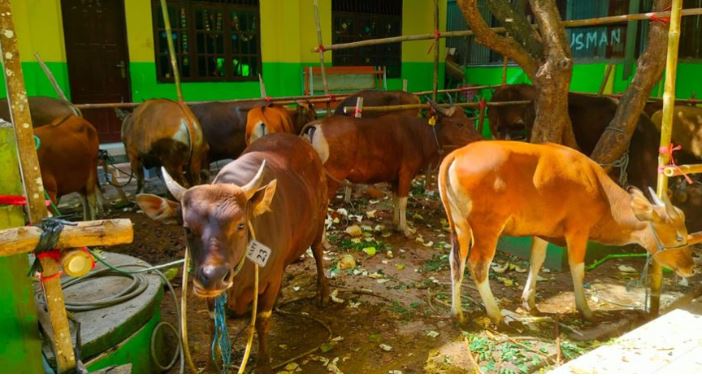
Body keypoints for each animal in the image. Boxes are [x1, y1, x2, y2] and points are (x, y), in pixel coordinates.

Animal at [136, 133, 332, 370]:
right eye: (187, 228)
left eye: (240, 225)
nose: (213, 276)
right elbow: (214, 324)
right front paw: (211, 366)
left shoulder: (271, 277)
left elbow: (262, 320)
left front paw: (263, 364)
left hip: (319, 221)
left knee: (318, 252)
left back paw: (323, 292)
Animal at [306, 106, 482, 235]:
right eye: (459, 124)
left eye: (468, 120)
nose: (480, 139)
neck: (420, 136)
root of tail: (318, 125)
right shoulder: (406, 174)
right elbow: (403, 201)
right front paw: (406, 229)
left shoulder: (394, 178)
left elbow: (395, 199)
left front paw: (396, 224)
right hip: (332, 177)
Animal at [442, 141, 696, 324]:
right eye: (678, 236)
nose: (691, 268)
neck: (603, 194)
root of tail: (457, 154)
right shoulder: (578, 231)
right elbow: (578, 268)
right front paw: (585, 309)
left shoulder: (542, 232)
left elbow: (537, 260)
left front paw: (529, 301)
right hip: (488, 228)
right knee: (478, 265)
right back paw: (495, 314)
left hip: (459, 226)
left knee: (456, 260)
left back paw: (457, 314)